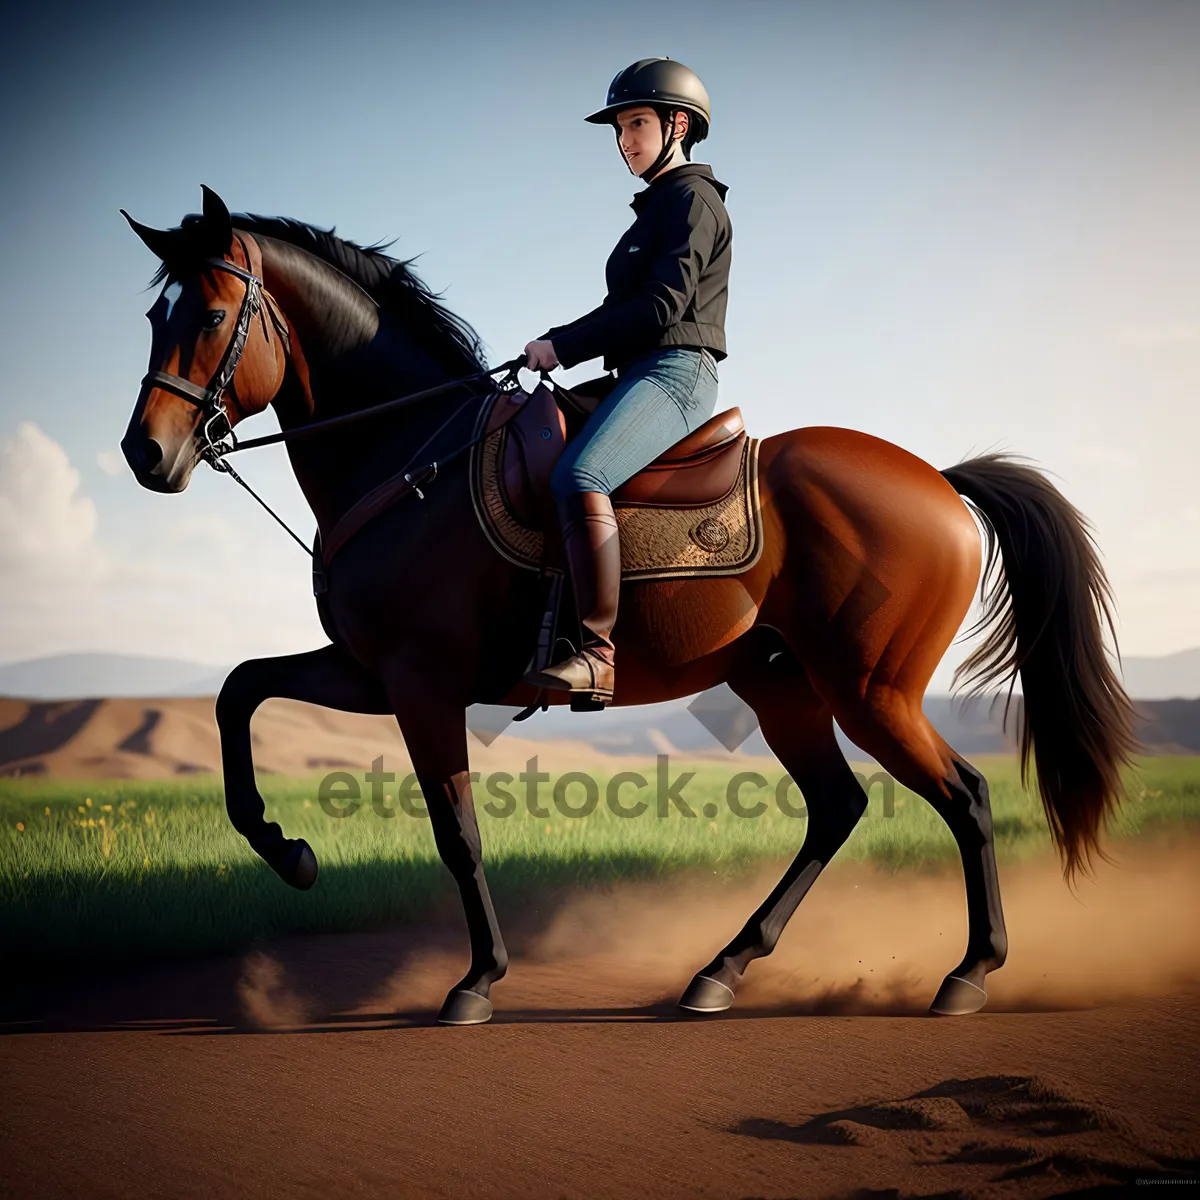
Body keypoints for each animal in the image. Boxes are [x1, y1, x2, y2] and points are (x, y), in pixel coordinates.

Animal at [121, 184, 1142, 1022]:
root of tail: (937, 479)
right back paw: (721, 971)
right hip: (783, 684)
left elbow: (457, 832)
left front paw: (477, 979)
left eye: (211, 314)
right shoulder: (371, 671)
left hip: (871, 691)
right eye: (152, 313)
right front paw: (288, 851)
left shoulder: (421, 681)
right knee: (837, 805)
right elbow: (239, 692)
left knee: (963, 797)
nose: (143, 454)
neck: (410, 452)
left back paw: (969, 974)